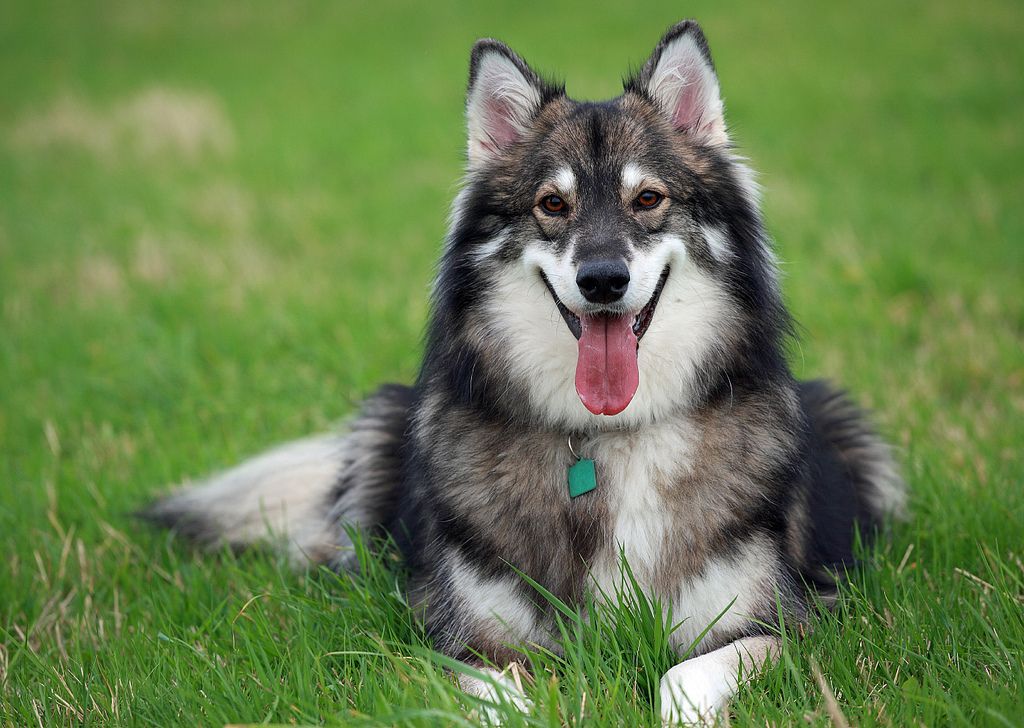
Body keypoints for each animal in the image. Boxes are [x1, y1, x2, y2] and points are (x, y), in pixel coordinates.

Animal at [144, 19, 905, 724]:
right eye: (552, 204)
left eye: (648, 199)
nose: (603, 280)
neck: (606, 439)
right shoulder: (469, 638)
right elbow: (509, 694)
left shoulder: (776, 624)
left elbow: (684, 680)